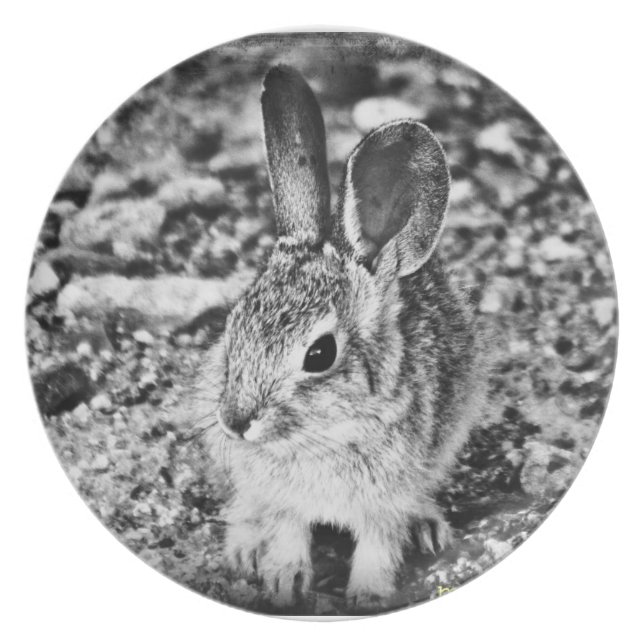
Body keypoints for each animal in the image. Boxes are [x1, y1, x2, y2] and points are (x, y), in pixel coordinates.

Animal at [195, 65, 485, 607]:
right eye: (233, 325)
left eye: (320, 354)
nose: (235, 422)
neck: (325, 434)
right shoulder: (278, 497)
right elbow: (286, 531)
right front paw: (283, 583)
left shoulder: (388, 500)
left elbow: (377, 546)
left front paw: (367, 597)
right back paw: (244, 549)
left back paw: (429, 529)